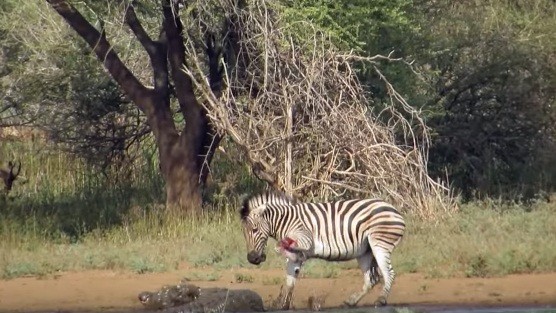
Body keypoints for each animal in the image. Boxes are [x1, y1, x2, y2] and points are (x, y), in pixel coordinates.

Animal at [238, 190, 404, 308]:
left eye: (254, 230)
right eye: (244, 233)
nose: (252, 259)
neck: (286, 220)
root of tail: (394, 209)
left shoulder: (306, 238)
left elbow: (283, 248)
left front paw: (282, 247)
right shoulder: (295, 258)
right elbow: (290, 281)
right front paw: (283, 306)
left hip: (380, 243)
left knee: (389, 273)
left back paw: (381, 300)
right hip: (364, 251)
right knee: (371, 279)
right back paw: (351, 301)